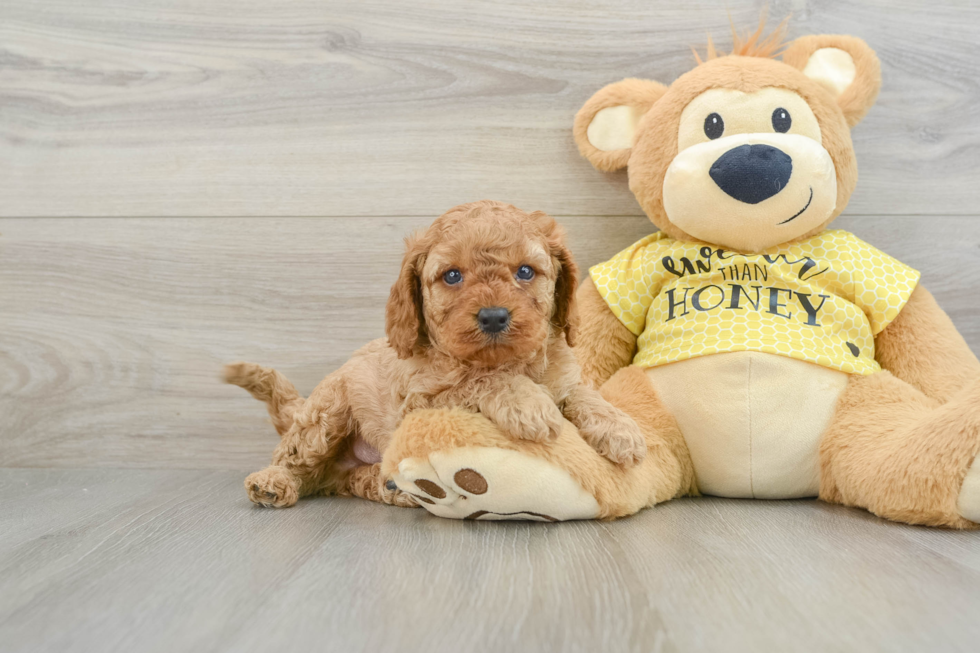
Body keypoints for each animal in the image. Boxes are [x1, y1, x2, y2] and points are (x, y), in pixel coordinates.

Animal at [226, 201, 648, 506]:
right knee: (298, 460)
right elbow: (482, 379)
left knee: (336, 479)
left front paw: (619, 427)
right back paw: (272, 481)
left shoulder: (563, 377)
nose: (494, 316)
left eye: (526, 272)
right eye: (452, 276)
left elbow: (582, 393)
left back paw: (393, 489)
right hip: (326, 415)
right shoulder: (421, 402)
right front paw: (528, 404)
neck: (506, 358)